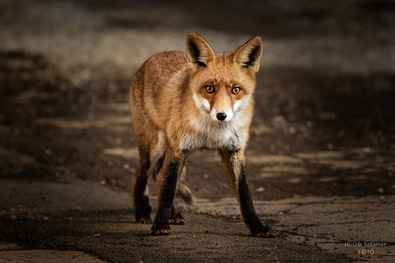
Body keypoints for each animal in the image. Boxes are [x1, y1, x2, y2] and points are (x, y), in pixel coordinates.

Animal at [129, 32, 276, 238]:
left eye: (235, 90)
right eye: (209, 88)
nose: (221, 115)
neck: (212, 133)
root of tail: (154, 56)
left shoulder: (234, 151)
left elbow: (245, 195)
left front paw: (257, 227)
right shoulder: (178, 148)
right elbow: (167, 188)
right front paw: (159, 225)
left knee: (158, 176)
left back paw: (172, 214)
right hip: (155, 148)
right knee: (141, 175)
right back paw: (143, 212)